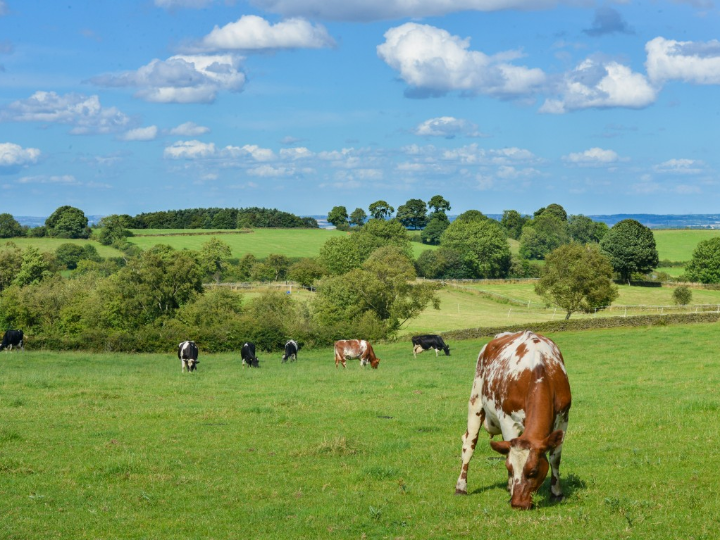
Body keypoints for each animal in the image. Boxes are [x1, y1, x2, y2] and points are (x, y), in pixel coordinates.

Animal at [455, 330, 571, 510]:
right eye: (509, 467)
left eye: (533, 471)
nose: (517, 504)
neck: (539, 368)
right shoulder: (508, 421)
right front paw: (511, 489)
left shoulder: (564, 419)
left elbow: (555, 458)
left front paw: (557, 493)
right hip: (475, 401)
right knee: (469, 445)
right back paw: (461, 486)